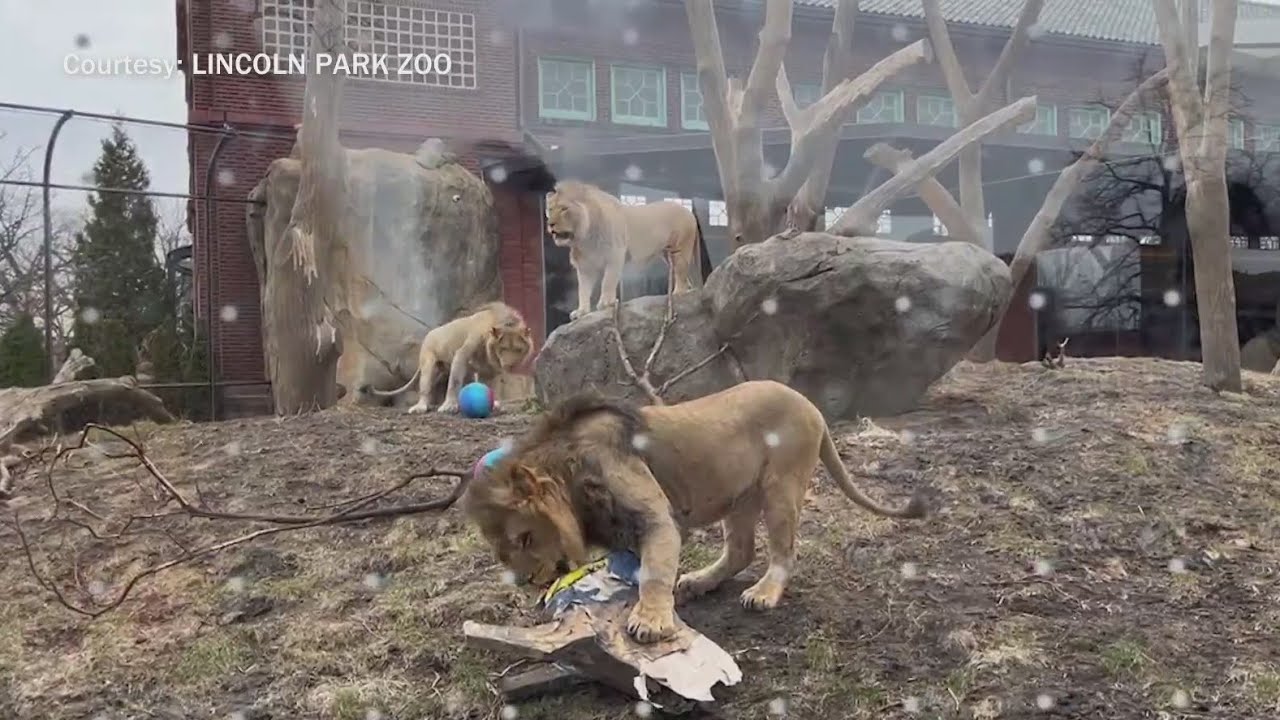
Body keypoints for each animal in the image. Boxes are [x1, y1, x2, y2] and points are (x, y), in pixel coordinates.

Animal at [370, 301, 533, 414]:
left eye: (518, 349)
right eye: (503, 348)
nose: (510, 365)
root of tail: (430, 333)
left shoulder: (489, 370)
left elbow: (490, 387)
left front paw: (494, 404)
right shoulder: (462, 354)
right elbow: (454, 383)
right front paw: (449, 406)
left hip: (451, 371)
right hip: (429, 363)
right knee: (425, 387)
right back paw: (420, 407)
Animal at [461, 380, 928, 644]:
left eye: (525, 537)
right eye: (503, 554)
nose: (527, 582)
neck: (567, 467)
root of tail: (810, 405)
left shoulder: (654, 516)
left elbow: (653, 572)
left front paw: (649, 622)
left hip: (781, 486)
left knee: (783, 551)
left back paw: (763, 594)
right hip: (739, 497)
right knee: (740, 550)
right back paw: (698, 582)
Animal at [546, 180, 703, 320]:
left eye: (564, 208)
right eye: (550, 210)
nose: (550, 224)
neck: (584, 238)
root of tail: (689, 212)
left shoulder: (615, 256)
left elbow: (607, 282)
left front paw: (605, 303)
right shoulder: (586, 266)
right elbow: (583, 290)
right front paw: (581, 312)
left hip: (680, 249)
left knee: (681, 274)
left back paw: (677, 294)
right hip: (667, 255)